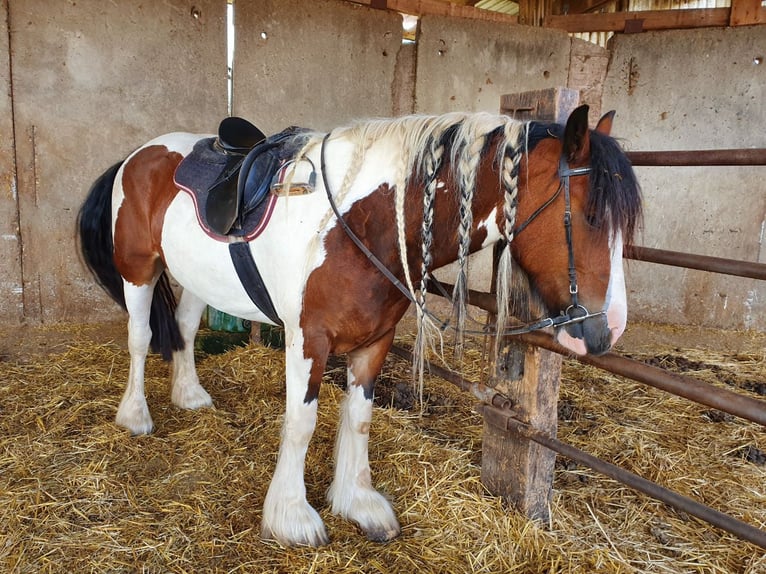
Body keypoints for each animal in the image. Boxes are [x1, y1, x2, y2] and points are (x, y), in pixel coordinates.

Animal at [78, 106, 640, 552]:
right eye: (590, 215)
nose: (608, 330)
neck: (363, 222)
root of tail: (139, 155)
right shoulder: (308, 341)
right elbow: (301, 423)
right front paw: (291, 517)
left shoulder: (374, 341)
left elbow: (360, 418)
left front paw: (357, 502)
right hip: (139, 270)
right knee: (139, 339)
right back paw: (135, 415)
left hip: (198, 277)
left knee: (186, 327)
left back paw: (190, 394)